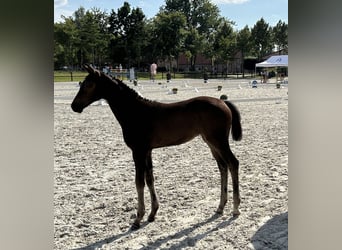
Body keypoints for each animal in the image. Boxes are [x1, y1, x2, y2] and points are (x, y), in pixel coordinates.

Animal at [71, 64, 243, 229]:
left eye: (88, 84)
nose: (74, 106)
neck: (135, 112)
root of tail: (223, 102)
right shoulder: (147, 151)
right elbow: (150, 179)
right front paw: (152, 213)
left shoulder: (138, 151)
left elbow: (139, 182)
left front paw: (138, 218)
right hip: (211, 143)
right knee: (223, 167)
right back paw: (220, 207)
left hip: (219, 141)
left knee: (233, 163)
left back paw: (235, 209)